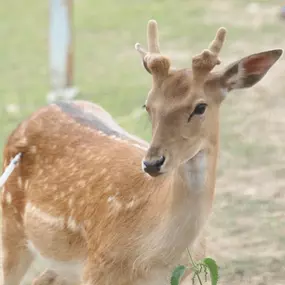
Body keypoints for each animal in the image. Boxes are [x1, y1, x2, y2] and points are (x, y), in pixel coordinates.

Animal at [0, 20, 282, 284]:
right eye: (147, 105)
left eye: (200, 106)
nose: (153, 163)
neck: (153, 257)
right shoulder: (98, 269)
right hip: (9, 226)